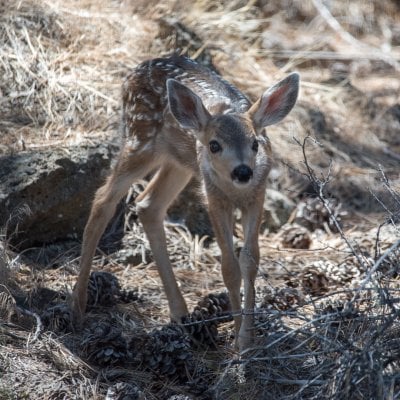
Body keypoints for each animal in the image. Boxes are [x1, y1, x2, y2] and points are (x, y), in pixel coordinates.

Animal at [72, 54, 298, 352]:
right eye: (214, 145)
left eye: (255, 144)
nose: (242, 172)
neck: (235, 193)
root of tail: (135, 71)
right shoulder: (213, 196)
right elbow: (229, 267)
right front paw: (237, 341)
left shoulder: (256, 196)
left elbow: (250, 261)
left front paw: (247, 340)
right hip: (140, 139)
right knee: (103, 199)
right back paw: (77, 305)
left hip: (178, 160)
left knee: (148, 204)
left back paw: (180, 313)